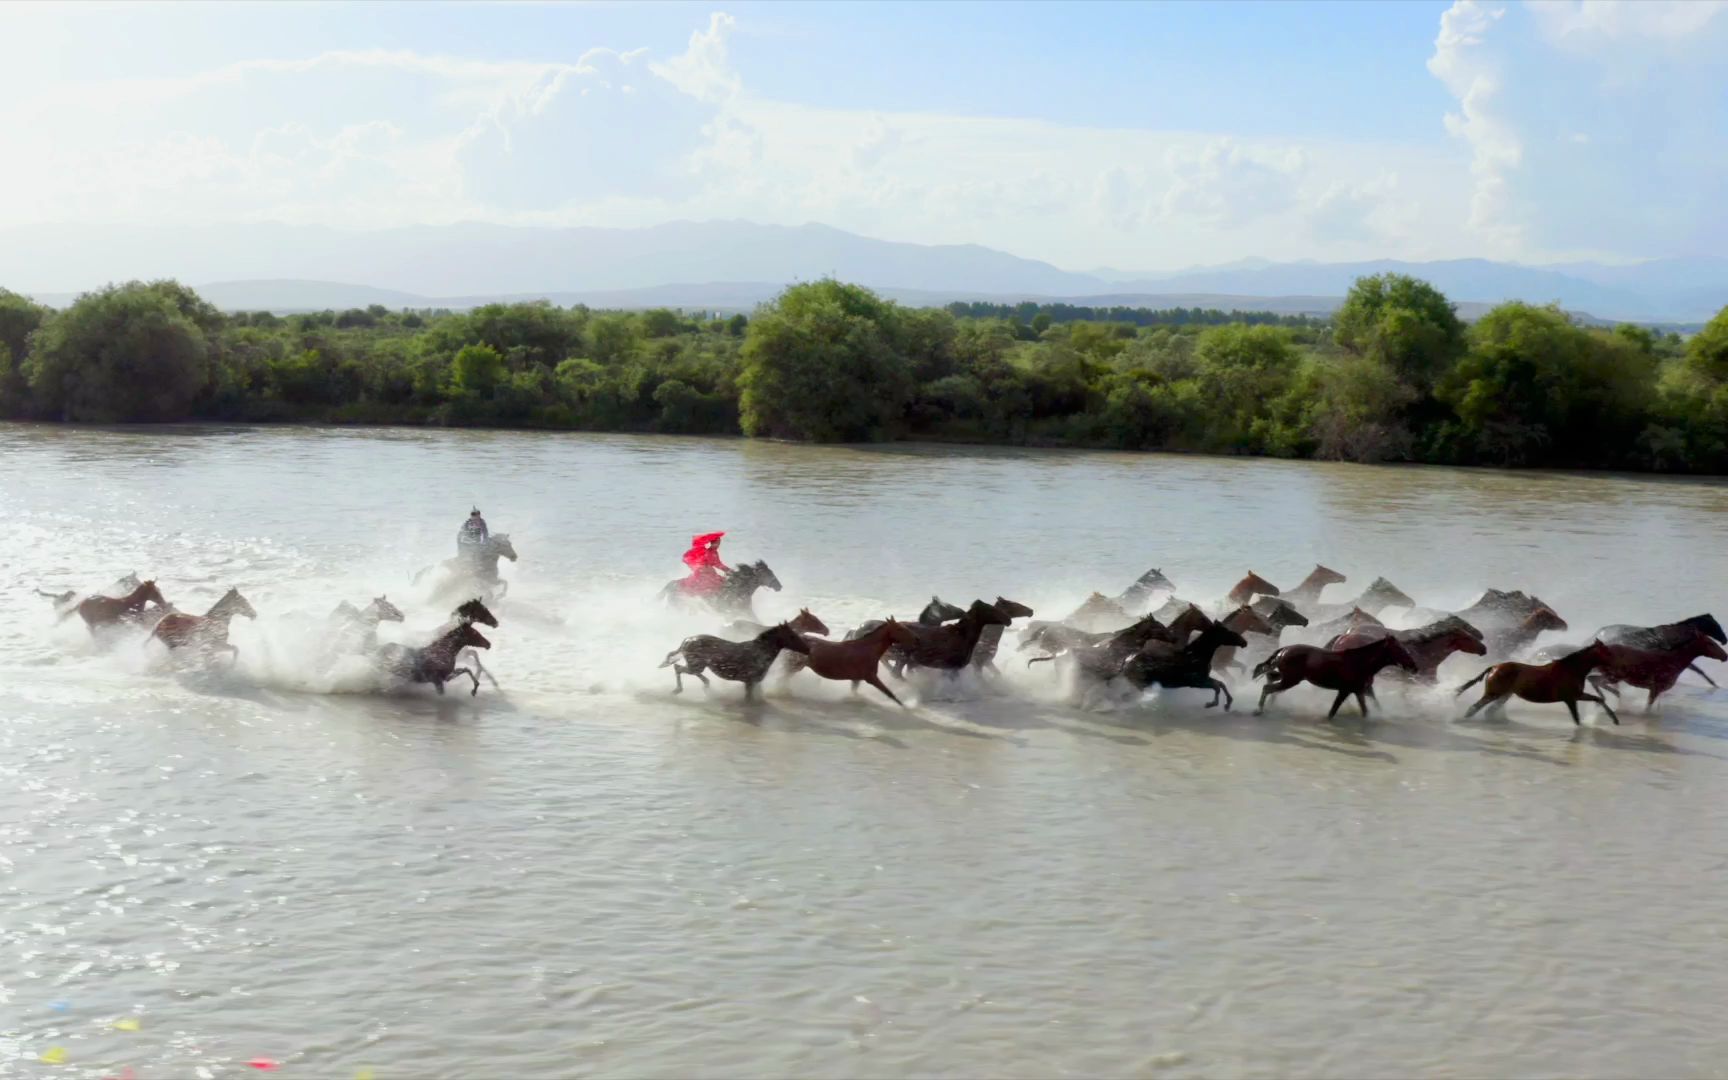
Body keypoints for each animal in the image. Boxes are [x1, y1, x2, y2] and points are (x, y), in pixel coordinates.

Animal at [1257, 639, 1416, 715]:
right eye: (1400, 649)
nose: (1414, 667)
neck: (1361, 662)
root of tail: (1283, 650)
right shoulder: (1345, 690)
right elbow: (1333, 711)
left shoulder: (1360, 690)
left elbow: (1367, 710)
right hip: (1290, 680)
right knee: (1268, 687)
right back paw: (1259, 710)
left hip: (1289, 678)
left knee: (1270, 680)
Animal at [1458, 639, 1617, 725]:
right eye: (1607, 652)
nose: (1615, 665)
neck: (1572, 669)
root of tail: (1494, 667)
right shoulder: (1571, 698)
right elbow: (1577, 718)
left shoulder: (1577, 696)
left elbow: (1599, 699)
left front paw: (1614, 719)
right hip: (1493, 694)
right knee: (1473, 708)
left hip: (1504, 695)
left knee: (1488, 711)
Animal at [1582, 628, 1721, 711]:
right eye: (1711, 643)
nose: (1724, 656)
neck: (1676, 661)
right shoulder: (1656, 688)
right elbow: (1647, 708)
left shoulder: (1656, 690)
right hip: (1613, 676)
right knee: (1593, 680)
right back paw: (1610, 697)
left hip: (1610, 675)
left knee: (1593, 680)